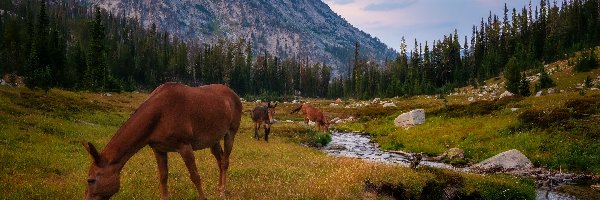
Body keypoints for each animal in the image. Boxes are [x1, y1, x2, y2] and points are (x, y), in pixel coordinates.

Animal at [81, 82, 241, 199]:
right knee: (219, 160)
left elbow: (195, 176)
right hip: (213, 140)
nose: (86, 199)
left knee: (225, 162)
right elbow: (163, 177)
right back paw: (219, 188)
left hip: (230, 133)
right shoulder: (158, 148)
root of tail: (235, 95)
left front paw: (204, 197)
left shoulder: (184, 145)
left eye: (91, 180)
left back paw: (223, 191)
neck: (159, 115)